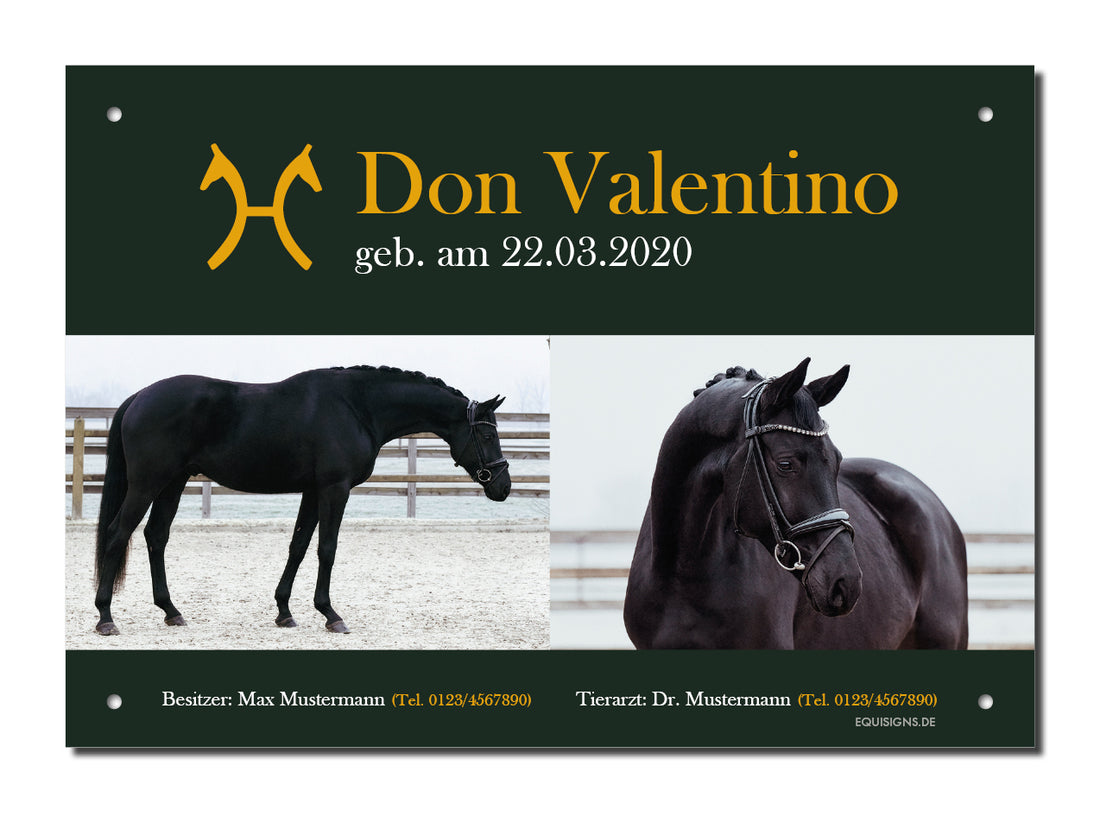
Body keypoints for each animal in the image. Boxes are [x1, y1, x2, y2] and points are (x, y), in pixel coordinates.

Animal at [93, 365, 511, 635]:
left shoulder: (313, 491)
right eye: (488, 435)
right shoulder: (335, 488)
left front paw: (284, 611)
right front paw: (330, 614)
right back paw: (105, 617)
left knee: (155, 536)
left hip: (173, 483)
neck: (357, 407)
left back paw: (171, 611)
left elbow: (298, 545)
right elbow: (327, 548)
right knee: (117, 534)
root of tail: (139, 397)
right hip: (148, 483)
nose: (503, 486)